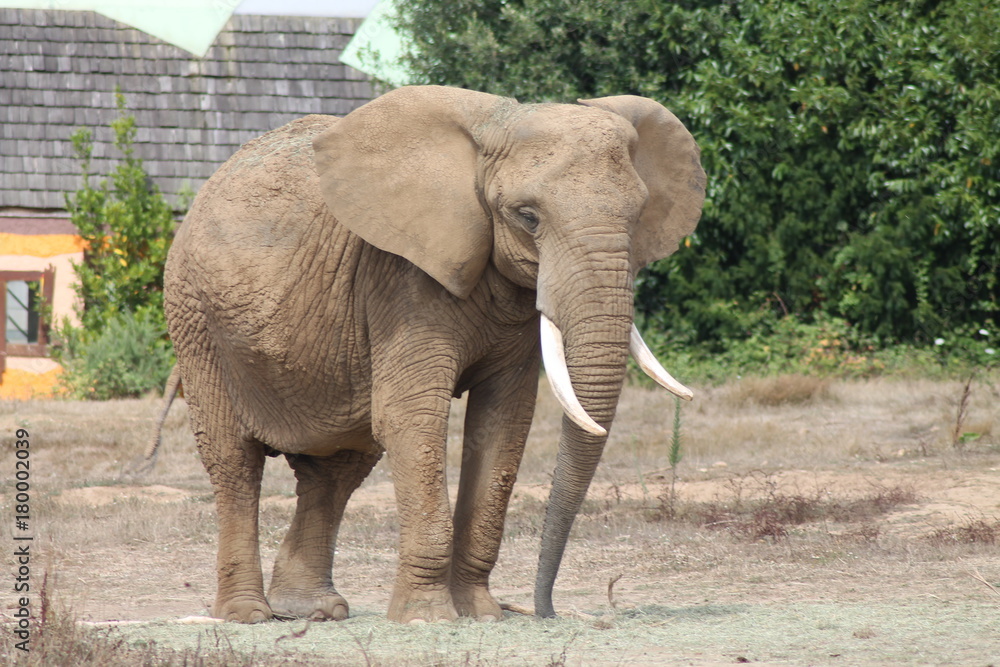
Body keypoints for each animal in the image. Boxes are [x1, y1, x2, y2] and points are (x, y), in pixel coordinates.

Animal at [162, 85, 705, 624]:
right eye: (527, 217)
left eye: (638, 215)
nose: (545, 610)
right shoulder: (399, 277)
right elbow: (412, 417)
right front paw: (429, 617)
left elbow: (502, 424)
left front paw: (481, 614)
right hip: (195, 320)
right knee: (235, 461)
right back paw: (247, 614)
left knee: (337, 468)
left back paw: (315, 611)